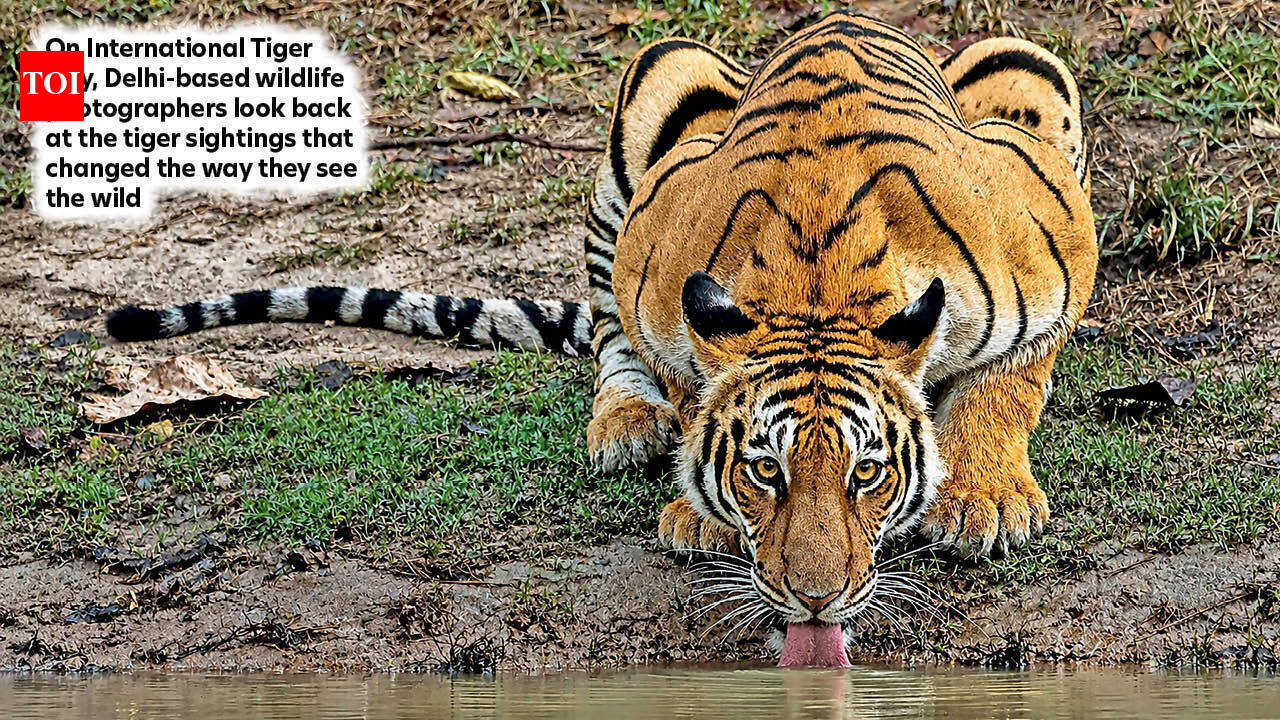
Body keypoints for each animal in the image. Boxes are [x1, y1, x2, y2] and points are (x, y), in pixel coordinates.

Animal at [106, 12, 1096, 666]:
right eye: (764, 471)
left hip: (1025, 68)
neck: (819, 290)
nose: (816, 598)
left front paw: (984, 498)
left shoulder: (1057, 235)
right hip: (660, 79)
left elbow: (1012, 378)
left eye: (868, 474)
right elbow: (681, 373)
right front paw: (698, 503)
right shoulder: (651, 253)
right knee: (615, 346)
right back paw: (625, 425)